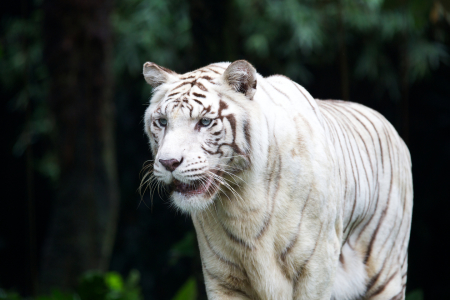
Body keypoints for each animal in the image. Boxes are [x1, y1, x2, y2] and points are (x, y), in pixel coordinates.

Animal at [142, 59, 414, 298]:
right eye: (162, 122)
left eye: (205, 122)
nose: (168, 162)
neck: (241, 200)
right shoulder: (220, 274)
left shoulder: (317, 264)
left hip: (386, 270)